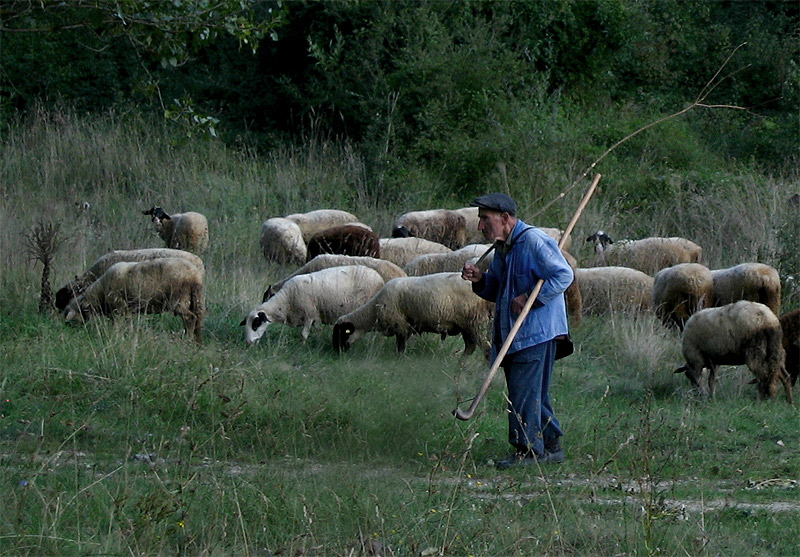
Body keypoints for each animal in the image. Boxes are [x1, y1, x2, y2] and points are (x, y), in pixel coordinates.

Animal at [63, 258, 205, 344]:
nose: (69, 331)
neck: (100, 292)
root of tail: (195, 276)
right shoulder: (120, 311)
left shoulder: (120, 307)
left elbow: (123, 325)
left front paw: (121, 336)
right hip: (195, 299)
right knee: (196, 319)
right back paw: (196, 340)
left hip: (179, 298)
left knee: (190, 318)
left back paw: (188, 339)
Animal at [239, 264, 386, 344]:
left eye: (256, 324)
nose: (249, 342)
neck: (286, 300)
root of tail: (379, 278)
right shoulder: (315, 317)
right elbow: (317, 331)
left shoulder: (309, 314)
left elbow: (303, 335)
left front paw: (302, 347)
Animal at [332, 270, 494, 356]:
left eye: (342, 333)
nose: (336, 353)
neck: (374, 310)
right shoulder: (407, 327)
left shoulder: (400, 326)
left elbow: (400, 347)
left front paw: (399, 360)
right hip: (466, 326)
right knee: (471, 348)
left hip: (474, 322)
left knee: (486, 349)